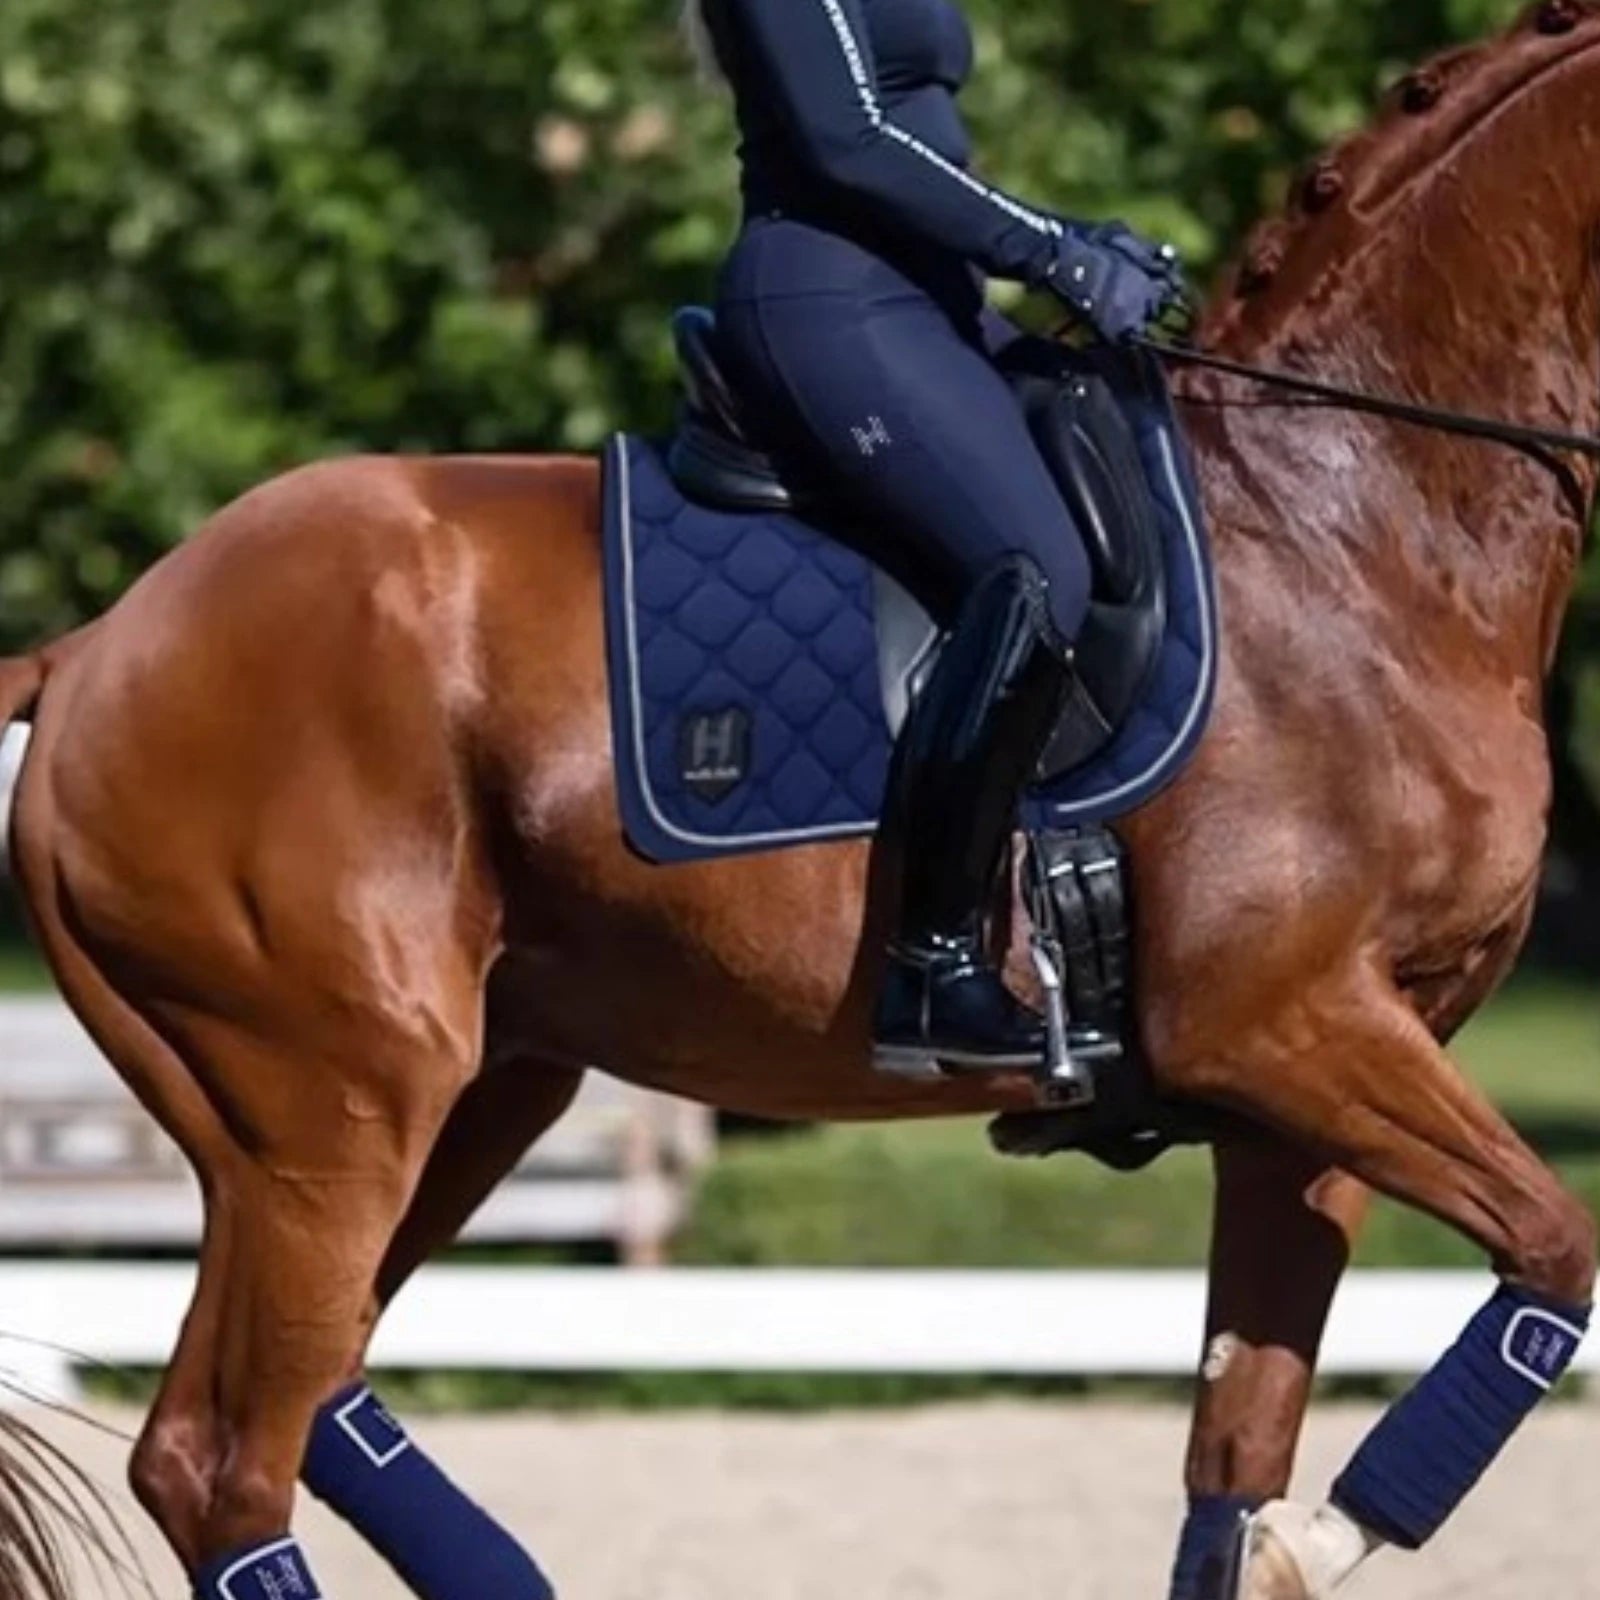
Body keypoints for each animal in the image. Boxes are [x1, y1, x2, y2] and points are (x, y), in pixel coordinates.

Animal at [2, 2, 1599, 1596]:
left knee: (296, 1403)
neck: (1351, 519)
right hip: (328, 1112)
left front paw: (1283, 1540)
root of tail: (97, 644)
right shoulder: (1278, 1026)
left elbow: (1235, 1467)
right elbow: (1559, 1248)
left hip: (462, 1093)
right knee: (222, 1461)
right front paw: (1323, 1535)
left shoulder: (1307, 1093)